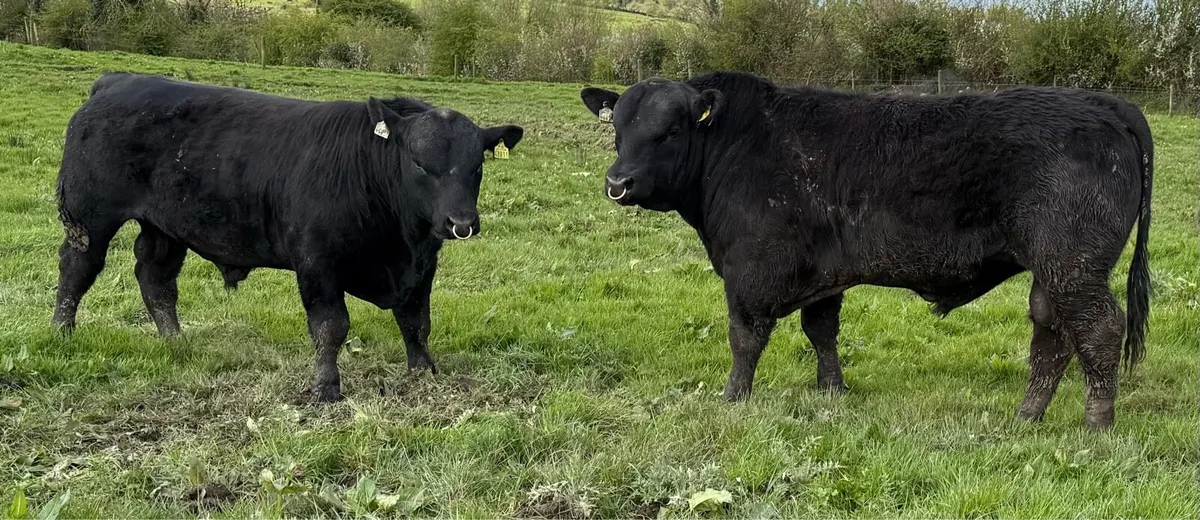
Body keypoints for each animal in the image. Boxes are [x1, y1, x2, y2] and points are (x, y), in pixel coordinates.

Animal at [53, 72, 523, 402]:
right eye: (420, 163)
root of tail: (117, 81)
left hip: (165, 227)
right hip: (89, 217)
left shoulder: (423, 265)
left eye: (477, 165)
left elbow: (417, 322)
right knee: (77, 268)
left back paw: (176, 341)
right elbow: (331, 327)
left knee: (156, 279)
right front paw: (326, 388)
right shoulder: (317, 263)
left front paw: (424, 373)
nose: (461, 222)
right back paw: (62, 331)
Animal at [580, 72, 1152, 430]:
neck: (734, 146)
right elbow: (821, 331)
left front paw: (733, 398)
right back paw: (1027, 416)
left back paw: (1096, 425)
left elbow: (744, 339)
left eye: (670, 129)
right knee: (1051, 334)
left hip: (1073, 264)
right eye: (617, 128)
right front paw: (832, 390)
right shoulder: (820, 273)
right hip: (1052, 270)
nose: (618, 183)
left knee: (1099, 329)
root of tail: (1101, 102)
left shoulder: (751, 270)